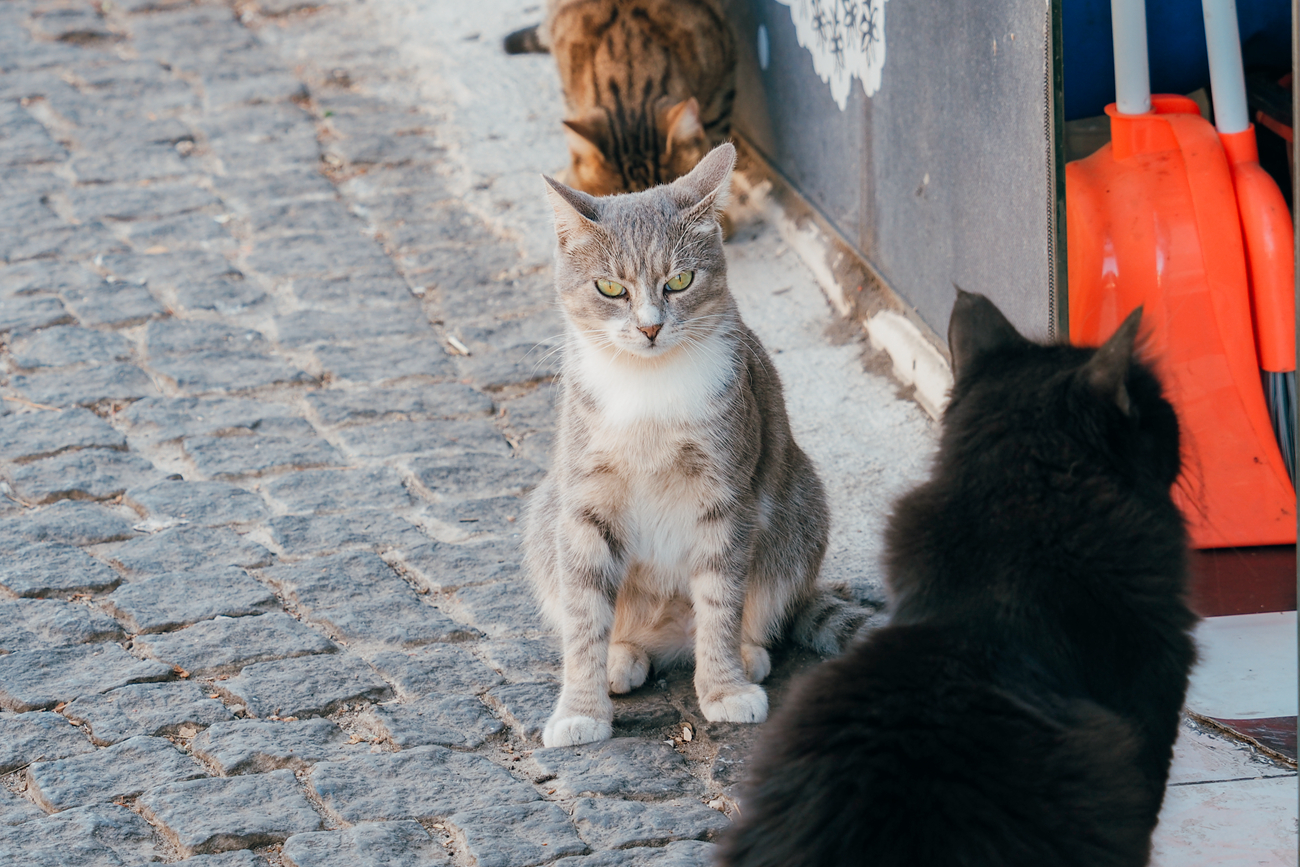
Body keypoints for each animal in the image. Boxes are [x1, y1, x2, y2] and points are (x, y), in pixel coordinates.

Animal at [522, 142, 868, 748]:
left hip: (799, 513)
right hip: (547, 517)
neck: (648, 390)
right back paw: (620, 659)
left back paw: (746, 657)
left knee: (751, 614)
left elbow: (719, 602)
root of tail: (668, 639)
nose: (650, 328)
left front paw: (723, 688)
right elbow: (585, 613)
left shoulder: (725, 495)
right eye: (610, 288)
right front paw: (580, 710)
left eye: (680, 281)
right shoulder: (585, 501)